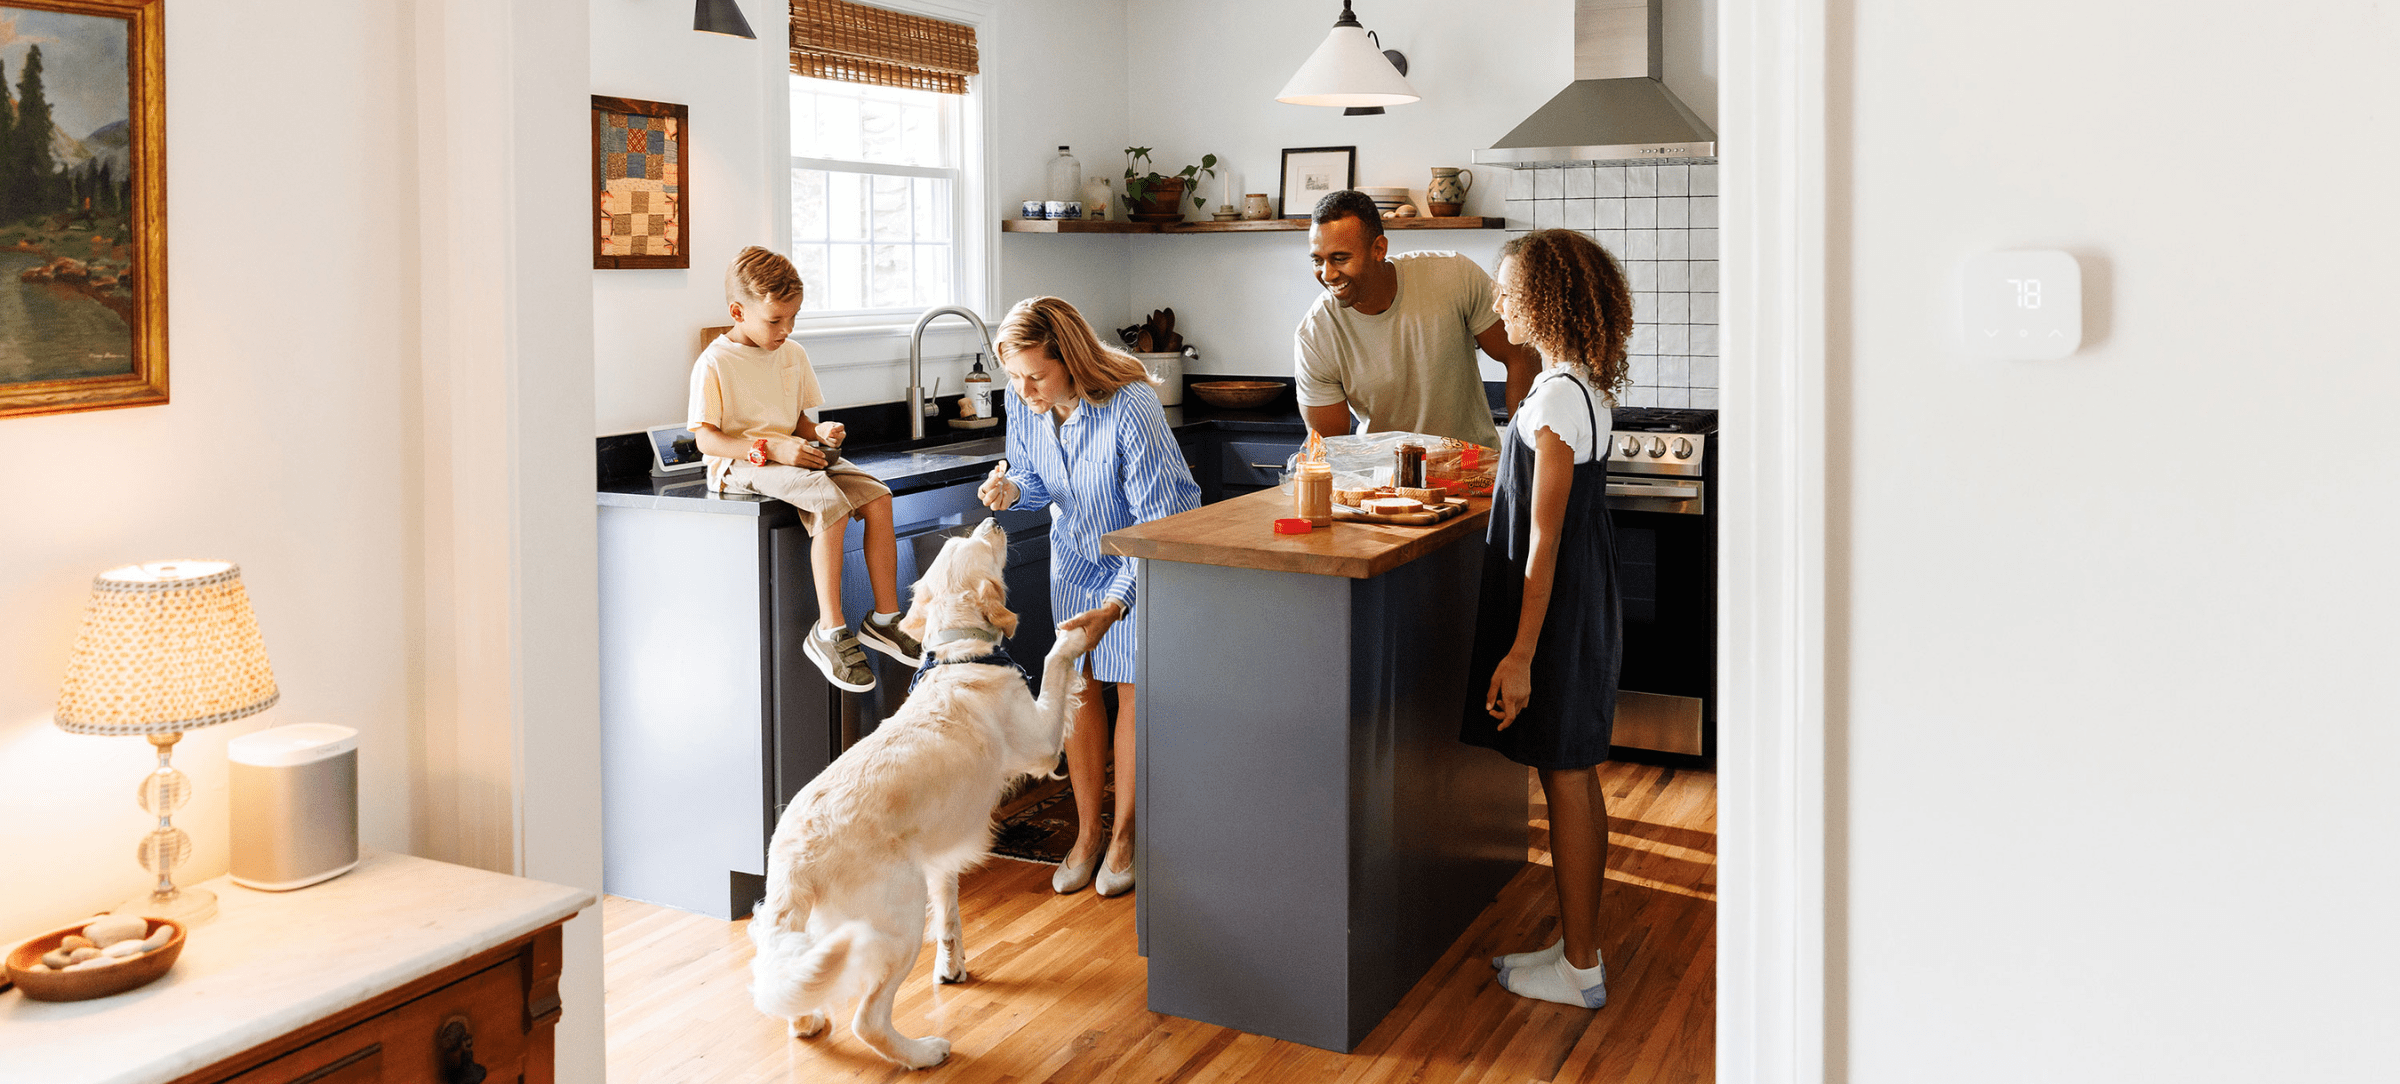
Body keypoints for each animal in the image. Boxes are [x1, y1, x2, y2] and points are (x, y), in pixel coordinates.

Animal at [744, 515, 1094, 1064]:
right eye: (979, 543)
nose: (993, 518)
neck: (958, 656)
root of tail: (794, 856)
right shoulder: (1040, 744)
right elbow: (1058, 668)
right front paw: (1073, 637)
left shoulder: (939, 852)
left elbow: (948, 913)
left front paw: (951, 967)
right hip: (898, 918)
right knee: (868, 1021)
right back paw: (924, 1052)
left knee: (794, 991)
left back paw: (810, 1019)